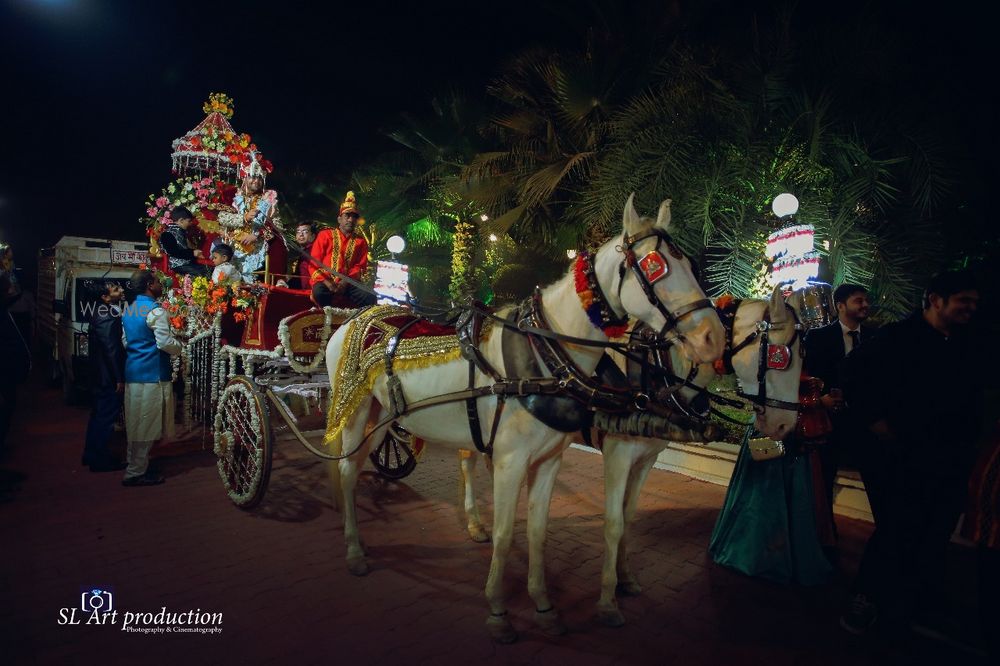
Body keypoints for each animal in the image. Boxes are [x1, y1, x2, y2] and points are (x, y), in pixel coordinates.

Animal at [328, 195, 728, 640]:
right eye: (656, 266)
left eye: (691, 264)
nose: (713, 337)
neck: (546, 357)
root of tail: (350, 320)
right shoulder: (520, 459)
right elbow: (512, 533)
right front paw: (500, 609)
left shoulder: (558, 458)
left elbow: (542, 529)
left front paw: (544, 604)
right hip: (354, 412)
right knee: (347, 471)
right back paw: (354, 549)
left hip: (386, 414)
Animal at [592, 288, 804, 624]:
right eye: (781, 357)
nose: (786, 425)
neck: (659, 369)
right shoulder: (618, 455)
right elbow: (613, 525)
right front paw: (606, 603)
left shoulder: (644, 459)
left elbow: (627, 518)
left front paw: (626, 580)